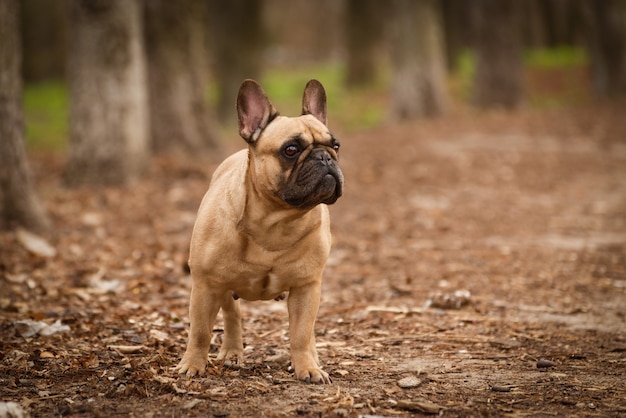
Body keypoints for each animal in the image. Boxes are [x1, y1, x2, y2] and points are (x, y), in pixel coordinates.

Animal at [174, 79, 342, 386]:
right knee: (232, 315)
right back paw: (232, 352)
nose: (325, 157)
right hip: (221, 286)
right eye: (291, 149)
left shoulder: (306, 286)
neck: (276, 220)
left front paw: (307, 367)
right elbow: (200, 331)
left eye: (336, 145)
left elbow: (301, 333)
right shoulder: (205, 284)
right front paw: (191, 365)